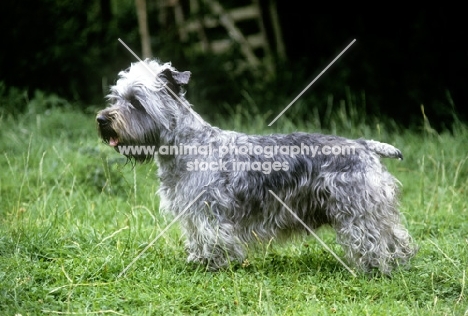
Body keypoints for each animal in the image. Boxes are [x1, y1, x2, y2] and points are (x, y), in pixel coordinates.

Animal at [96, 58, 416, 274]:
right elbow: (197, 237)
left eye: (136, 101)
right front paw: (198, 260)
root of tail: (365, 144)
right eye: (115, 97)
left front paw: (213, 264)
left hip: (357, 212)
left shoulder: (207, 209)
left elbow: (212, 236)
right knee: (396, 237)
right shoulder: (192, 211)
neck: (187, 144)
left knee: (373, 240)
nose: (101, 119)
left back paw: (373, 268)